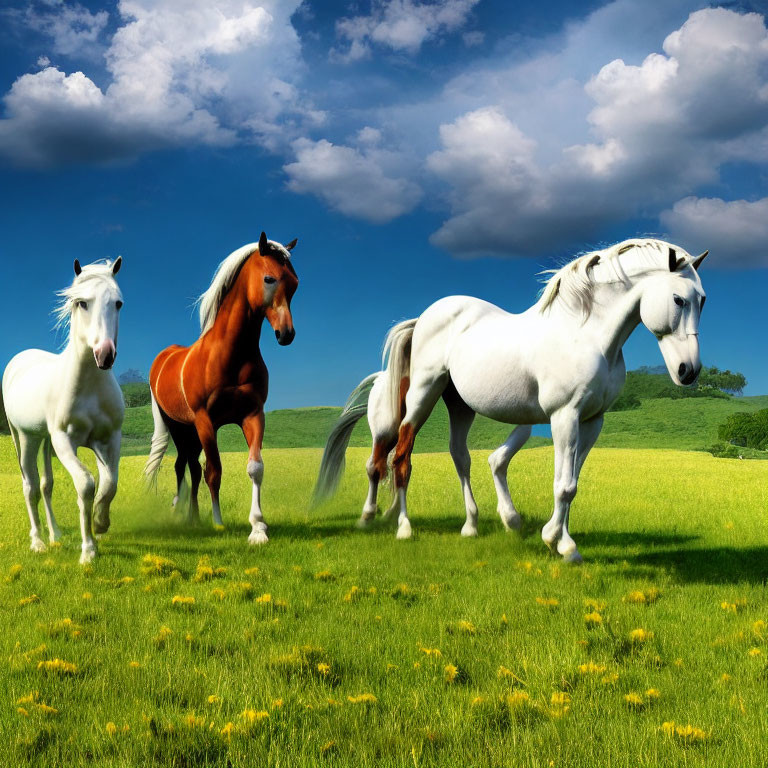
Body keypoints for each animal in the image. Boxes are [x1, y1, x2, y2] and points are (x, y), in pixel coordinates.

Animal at [2, 258, 124, 564]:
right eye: (82, 303)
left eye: (118, 303)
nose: (105, 355)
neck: (89, 386)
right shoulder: (64, 440)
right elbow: (87, 485)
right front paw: (88, 550)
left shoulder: (108, 439)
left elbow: (110, 483)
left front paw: (100, 522)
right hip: (26, 438)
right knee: (31, 486)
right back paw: (38, 542)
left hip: (44, 440)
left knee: (47, 485)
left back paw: (55, 535)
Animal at [146, 231, 298, 544]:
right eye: (269, 278)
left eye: (295, 283)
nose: (286, 334)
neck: (231, 354)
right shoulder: (206, 421)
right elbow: (213, 471)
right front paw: (218, 522)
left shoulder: (253, 415)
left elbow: (255, 468)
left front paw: (258, 528)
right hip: (179, 427)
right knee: (185, 467)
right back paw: (183, 514)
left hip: (191, 432)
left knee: (190, 467)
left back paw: (193, 517)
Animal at [312, 237, 708, 560]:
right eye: (678, 299)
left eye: (702, 301)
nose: (688, 371)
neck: (586, 336)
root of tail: (423, 318)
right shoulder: (564, 415)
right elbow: (564, 485)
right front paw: (557, 542)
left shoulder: (592, 421)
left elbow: (572, 481)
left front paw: (561, 541)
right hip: (423, 394)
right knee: (399, 457)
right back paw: (401, 527)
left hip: (459, 405)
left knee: (460, 457)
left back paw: (470, 526)